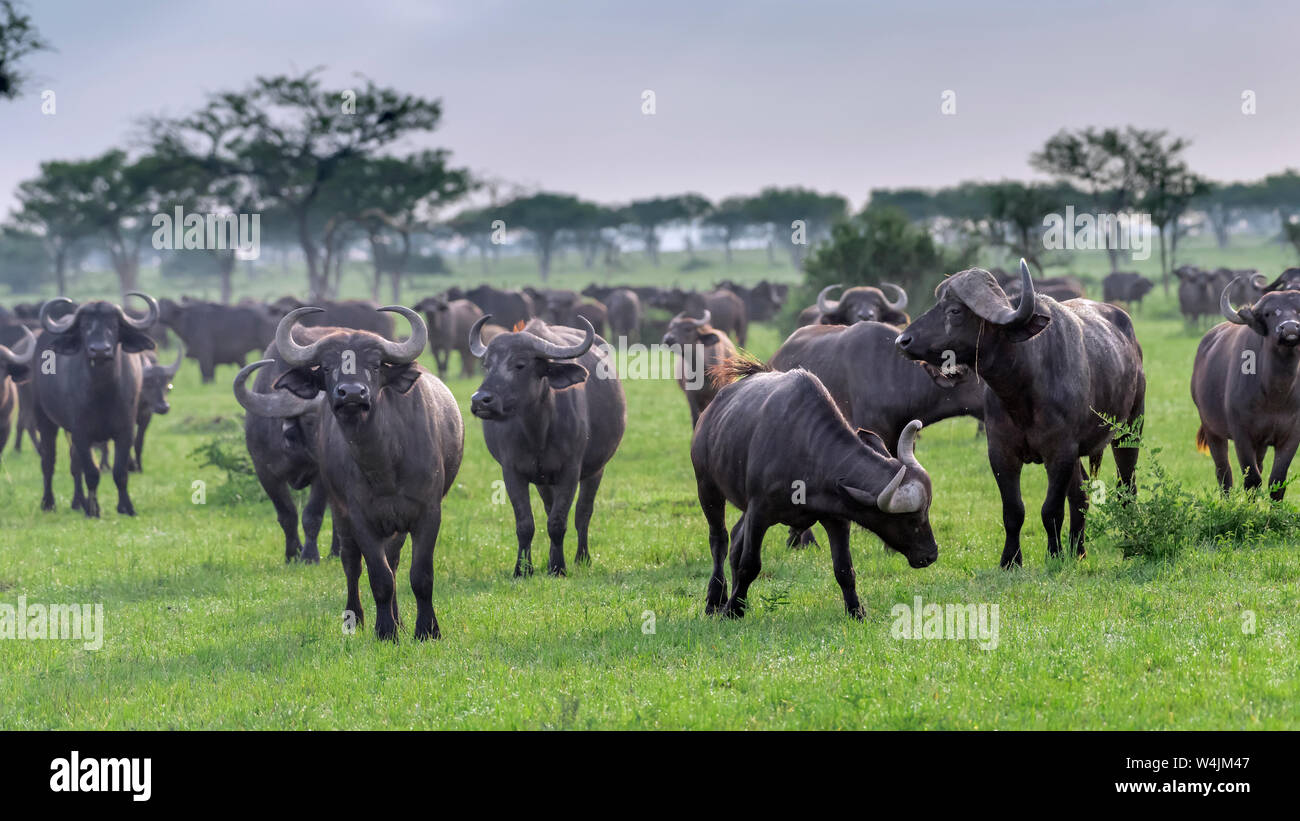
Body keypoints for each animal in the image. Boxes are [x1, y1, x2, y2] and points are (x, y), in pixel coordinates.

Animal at [34, 292, 159, 517]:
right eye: (85, 326)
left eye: (114, 325)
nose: (100, 350)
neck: (103, 393)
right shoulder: (81, 433)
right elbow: (92, 473)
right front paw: (93, 509)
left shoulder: (125, 431)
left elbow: (120, 472)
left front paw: (126, 507)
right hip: (44, 417)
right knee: (48, 461)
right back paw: (49, 503)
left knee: (74, 464)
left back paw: (78, 502)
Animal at [246, 305, 462, 639]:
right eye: (326, 367)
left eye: (374, 365)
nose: (351, 394)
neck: (384, 462)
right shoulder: (360, 517)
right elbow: (378, 577)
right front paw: (385, 631)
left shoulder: (428, 513)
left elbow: (420, 575)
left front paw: (426, 630)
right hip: (341, 512)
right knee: (352, 564)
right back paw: (357, 618)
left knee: (395, 562)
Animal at [470, 314, 626, 576]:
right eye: (487, 365)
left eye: (520, 364)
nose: (481, 400)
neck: (538, 431)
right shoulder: (512, 472)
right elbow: (525, 524)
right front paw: (522, 570)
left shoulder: (570, 472)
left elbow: (558, 522)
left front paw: (558, 567)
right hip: (543, 480)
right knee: (548, 508)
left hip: (596, 470)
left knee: (583, 513)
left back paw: (582, 557)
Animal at [899, 262, 1144, 571]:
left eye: (954, 310)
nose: (903, 340)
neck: (1022, 391)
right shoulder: (1001, 453)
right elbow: (1013, 510)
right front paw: (1011, 560)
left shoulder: (1060, 453)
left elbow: (1051, 509)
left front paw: (1053, 554)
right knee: (1080, 495)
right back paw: (1078, 550)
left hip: (1130, 429)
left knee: (1126, 488)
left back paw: (1128, 547)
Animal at [1190, 280, 1300, 501]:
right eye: (1268, 313)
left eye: (1299, 309)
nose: (1290, 328)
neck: (1276, 394)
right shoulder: (1241, 434)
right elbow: (1252, 480)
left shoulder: (1292, 435)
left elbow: (1277, 482)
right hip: (1212, 429)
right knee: (1224, 472)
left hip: (1261, 443)